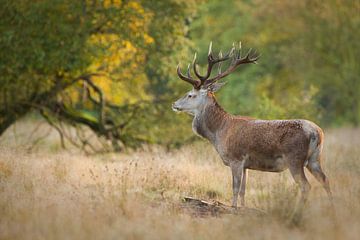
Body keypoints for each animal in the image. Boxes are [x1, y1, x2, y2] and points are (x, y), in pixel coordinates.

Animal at [172, 42, 332, 207]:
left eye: (190, 95)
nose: (174, 104)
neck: (218, 133)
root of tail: (316, 132)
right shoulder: (246, 165)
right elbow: (243, 190)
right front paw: (243, 208)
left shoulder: (235, 158)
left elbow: (235, 189)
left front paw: (234, 208)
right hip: (315, 158)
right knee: (326, 180)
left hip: (294, 157)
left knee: (306, 185)